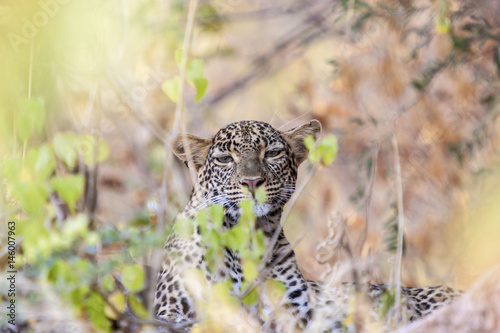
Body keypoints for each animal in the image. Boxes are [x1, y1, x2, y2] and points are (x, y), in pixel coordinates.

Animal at [154, 120, 462, 330]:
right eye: (224, 159)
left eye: (272, 153)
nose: (252, 182)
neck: (249, 238)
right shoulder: (171, 313)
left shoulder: (296, 313)